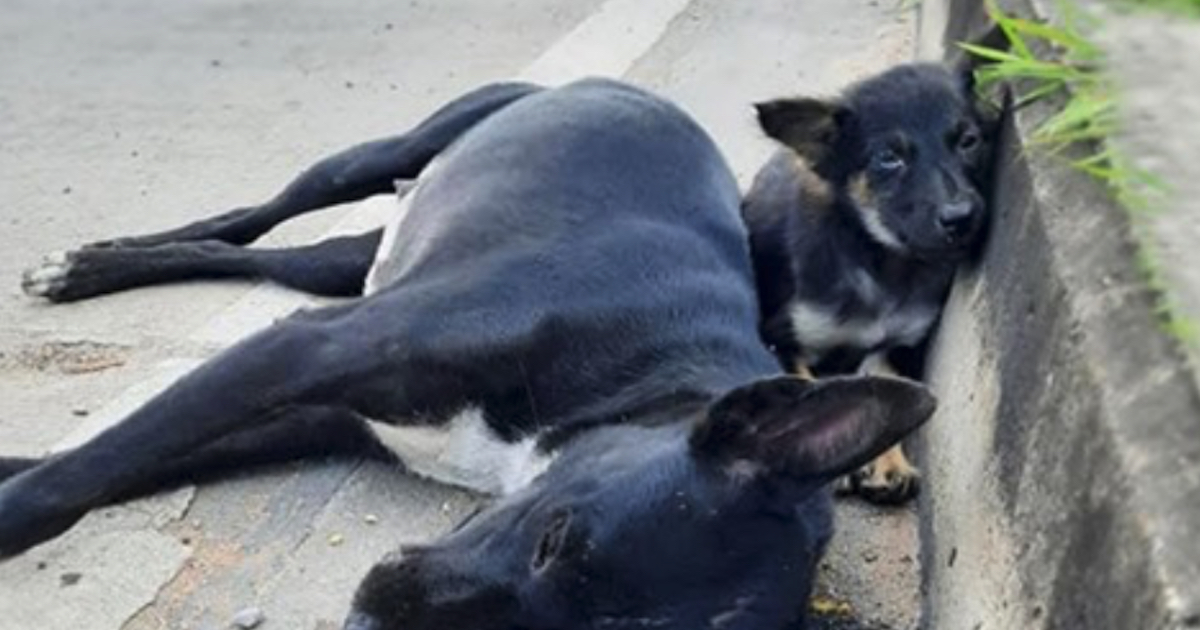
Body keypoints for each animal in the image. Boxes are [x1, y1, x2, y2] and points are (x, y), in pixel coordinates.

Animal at [4, 79, 931, 628]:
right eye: (554, 539)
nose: (368, 618)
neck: (644, 374)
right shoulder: (310, 351)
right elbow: (75, 479)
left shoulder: (329, 415)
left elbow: (129, 461)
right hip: (383, 155)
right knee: (251, 217)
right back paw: (88, 267)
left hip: (361, 253)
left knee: (276, 258)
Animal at [744, 63, 988, 504]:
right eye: (888, 158)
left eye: (969, 141)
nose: (961, 217)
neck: (882, 263)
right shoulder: (781, 339)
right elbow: (814, 396)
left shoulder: (895, 345)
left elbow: (885, 394)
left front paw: (890, 464)